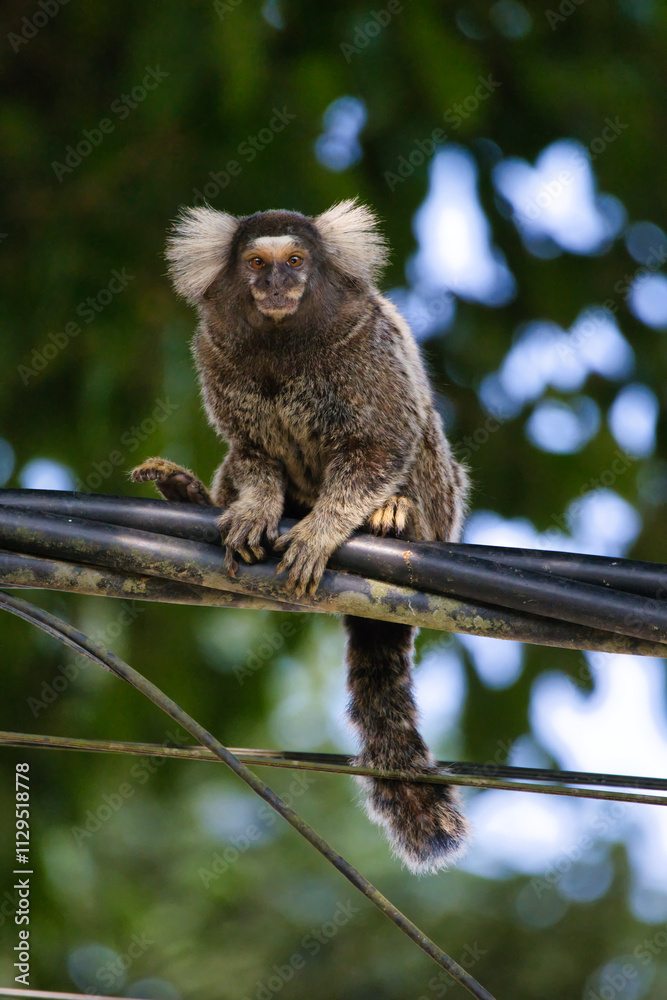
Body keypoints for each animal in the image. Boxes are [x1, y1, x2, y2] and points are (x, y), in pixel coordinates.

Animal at [131, 199, 470, 874]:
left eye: (295, 260)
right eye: (255, 264)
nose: (276, 284)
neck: (284, 343)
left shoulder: (366, 348)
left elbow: (380, 444)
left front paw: (321, 531)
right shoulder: (216, 353)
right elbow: (252, 454)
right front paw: (256, 509)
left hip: (443, 505)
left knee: (422, 436)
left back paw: (393, 516)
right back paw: (190, 496)